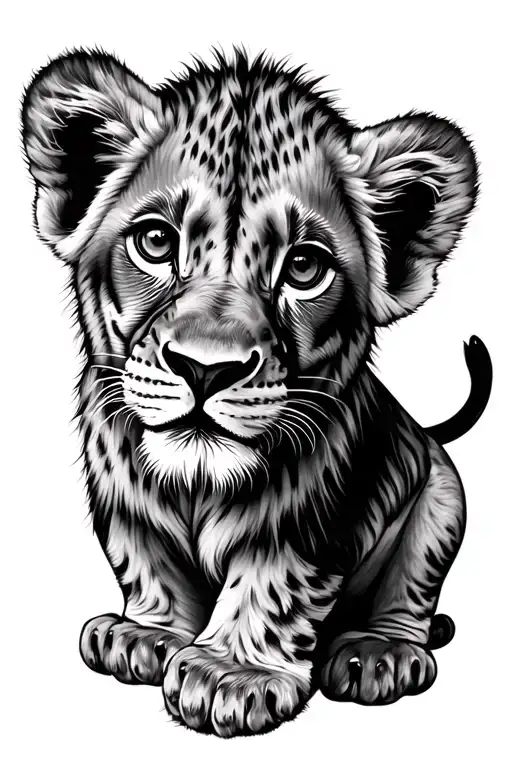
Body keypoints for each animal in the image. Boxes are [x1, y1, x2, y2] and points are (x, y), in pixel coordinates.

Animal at [22, 48, 491, 738]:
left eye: (303, 267)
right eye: (156, 242)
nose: (205, 369)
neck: (195, 483)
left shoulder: (310, 517)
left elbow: (276, 583)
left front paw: (233, 674)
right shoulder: (122, 497)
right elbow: (145, 558)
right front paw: (147, 634)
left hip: (441, 499)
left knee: (410, 597)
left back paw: (379, 652)